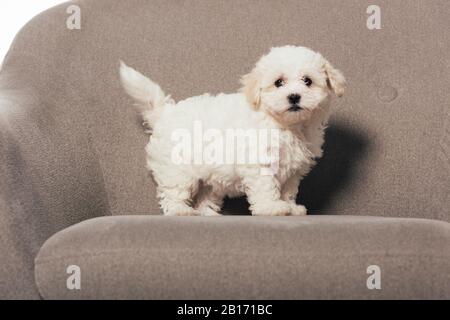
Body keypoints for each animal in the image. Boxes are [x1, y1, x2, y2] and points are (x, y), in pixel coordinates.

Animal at [119, 45, 344, 216]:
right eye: (279, 82)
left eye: (307, 81)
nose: (294, 96)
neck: (285, 124)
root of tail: (166, 112)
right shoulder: (259, 162)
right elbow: (266, 187)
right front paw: (271, 208)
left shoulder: (293, 170)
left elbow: (288, 190)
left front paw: (291, 207)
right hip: (177, 167)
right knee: (174, 192)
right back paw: (180, 211)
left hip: (209, 176)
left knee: (205, 194)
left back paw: (206, 213)